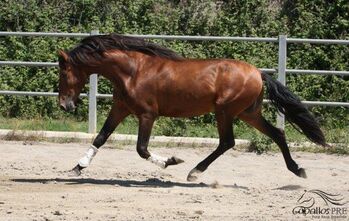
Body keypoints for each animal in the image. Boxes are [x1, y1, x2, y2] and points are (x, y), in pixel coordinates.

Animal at [57, 33, 326, 180]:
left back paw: (194, 171)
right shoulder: (120, 108)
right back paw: (297, 169)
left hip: (225, 111)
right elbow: (101, 137)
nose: (64, 106)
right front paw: (77, 168)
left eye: (64, 72)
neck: (133, 71)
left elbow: (141, 149)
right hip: (248, 113)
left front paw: (171, 161)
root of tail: (258, 73)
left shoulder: (147, 114)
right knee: (277, 134)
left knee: (227, 142)